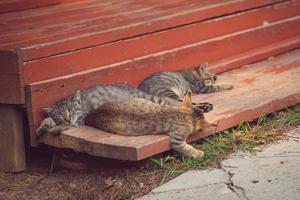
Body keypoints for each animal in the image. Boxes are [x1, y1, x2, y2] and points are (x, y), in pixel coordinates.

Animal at [36, 83, 212, 138]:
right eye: (61, 114)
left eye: (71, 111)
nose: (67, 118)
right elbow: (47, 120)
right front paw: (41, 128)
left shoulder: (81, 119)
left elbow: (67, 126)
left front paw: (55, 129)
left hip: (155, 100)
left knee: (176, 102)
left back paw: (204, 106)